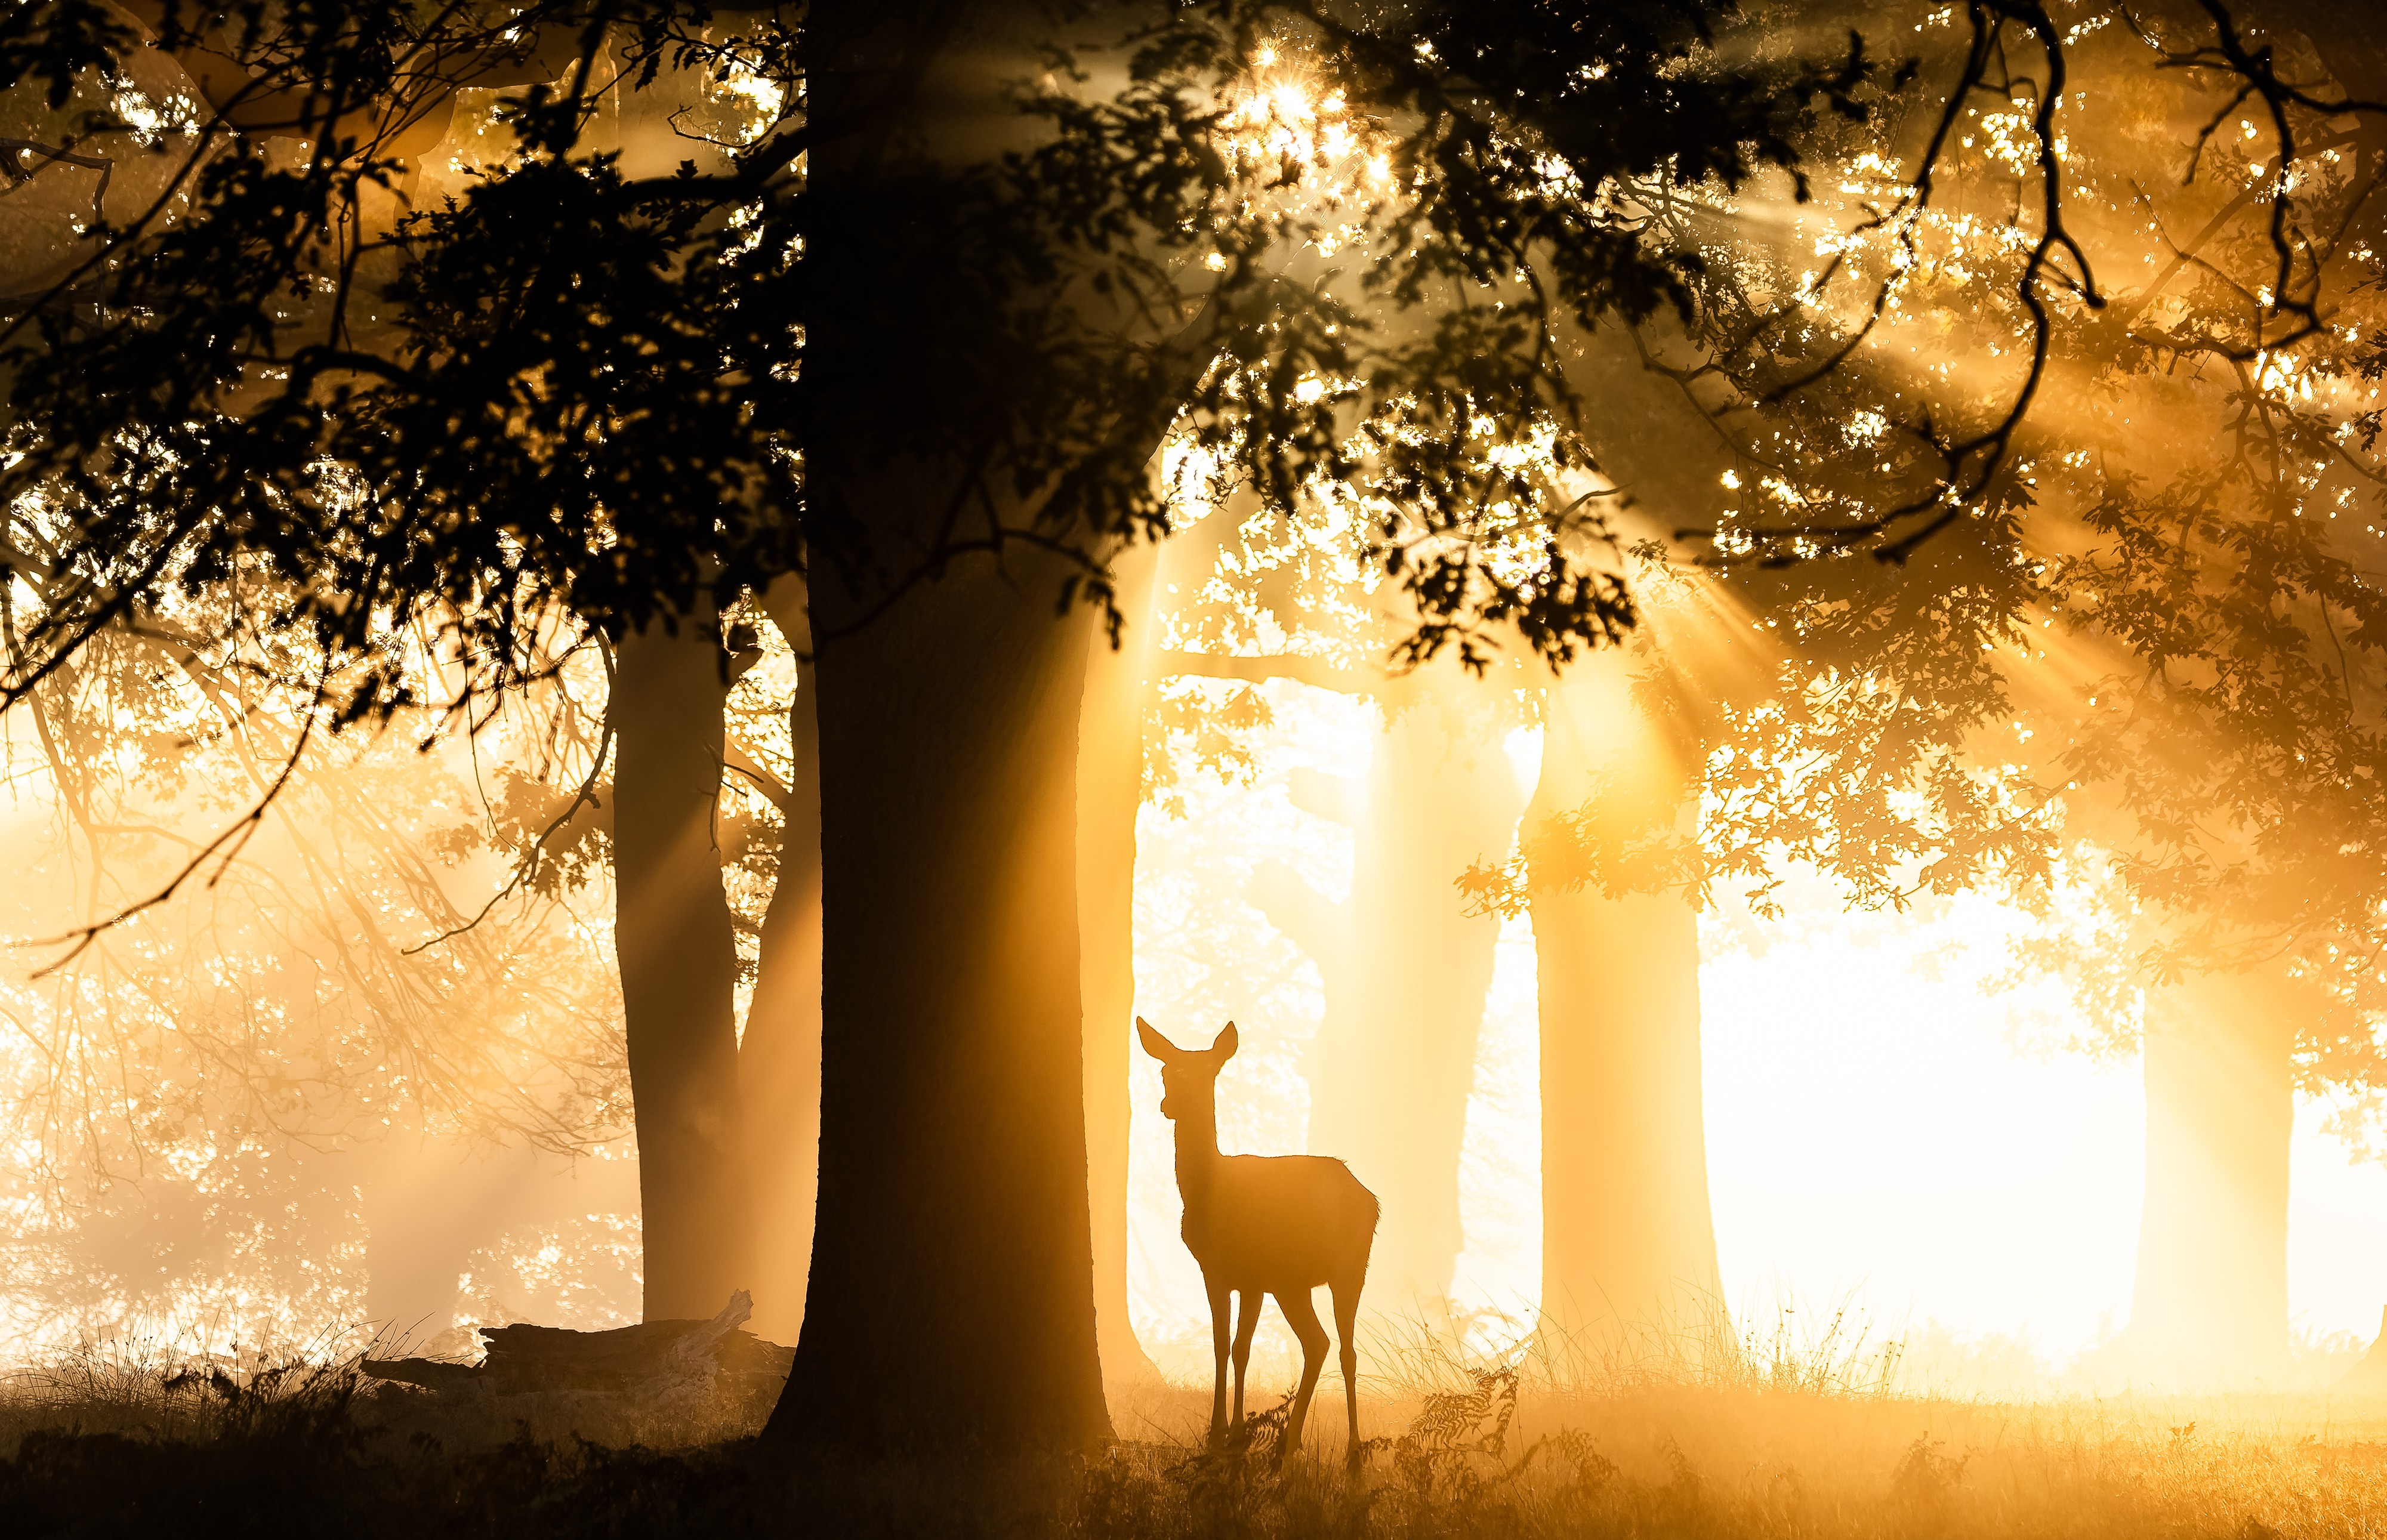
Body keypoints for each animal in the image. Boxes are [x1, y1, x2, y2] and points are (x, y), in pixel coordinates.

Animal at [1138, 1017, 1378, 1469]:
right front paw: (1228, 1433)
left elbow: (1233, 1346)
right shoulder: (1232, 1275)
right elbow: (1229, 1346)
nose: (1168, 1105)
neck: (1208, 1192)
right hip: (1313, 1278)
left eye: (1208, 1074)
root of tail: (1371, 1201)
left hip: (1329, 1270)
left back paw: (1339, 1448)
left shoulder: (1239, 1274)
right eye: (1165, 1072)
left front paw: (1225, 1433)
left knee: (1334, 1346)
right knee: (1329, 1345)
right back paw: (1309, 1444)